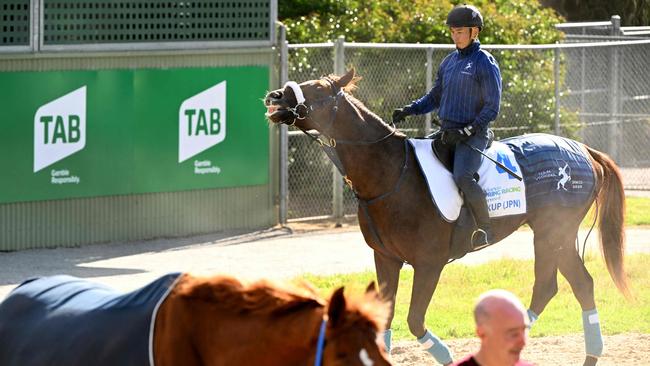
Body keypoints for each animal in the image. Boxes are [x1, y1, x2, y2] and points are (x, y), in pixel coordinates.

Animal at [264, 69, 628, 366]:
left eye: (317, 89)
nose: (276, 96)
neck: (392, 173)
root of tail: (583, 151)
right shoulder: (385, 259)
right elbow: (386, 318)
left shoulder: (429, 264)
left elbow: (414, 320)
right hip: (552, 234)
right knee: (562, 286)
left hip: (555, 233)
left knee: (565, 285)